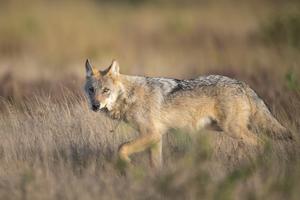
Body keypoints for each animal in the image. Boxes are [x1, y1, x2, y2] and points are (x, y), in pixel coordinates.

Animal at [84, 59, 292, 167]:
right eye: (91, 90)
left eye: (106, 91)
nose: (95, 106)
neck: (129, 95)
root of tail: (243, 84)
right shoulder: (156, 137)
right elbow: (155, 164)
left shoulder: (151, 133)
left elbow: (122, 148)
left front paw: (126, 165)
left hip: (233, 130)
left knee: (264, 143)